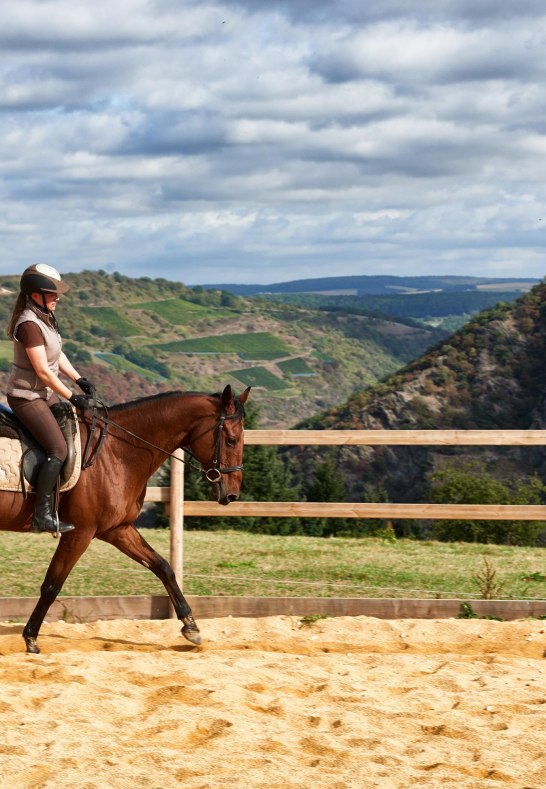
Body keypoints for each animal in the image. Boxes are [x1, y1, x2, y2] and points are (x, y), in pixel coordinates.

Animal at [0, 386, 250, 652]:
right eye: (232, 440)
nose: (232, 494)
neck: (115, 452)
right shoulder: (80, 533)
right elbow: (51, 585)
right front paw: (31, 638)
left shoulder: (118, 529)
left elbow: (163, 567)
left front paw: (191, 626)